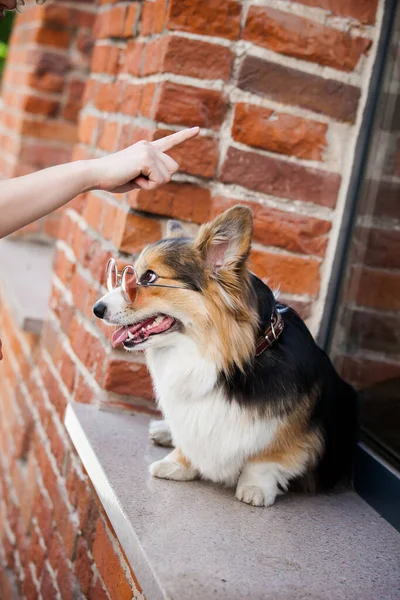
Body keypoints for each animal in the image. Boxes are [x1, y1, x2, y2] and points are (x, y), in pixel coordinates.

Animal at [94, 206, 360, 506]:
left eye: (149, 277)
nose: (96, 309)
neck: (224, 358)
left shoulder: (289, 436)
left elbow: (265, 460)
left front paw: (255, 488)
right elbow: (187, 441)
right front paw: (176, 464)